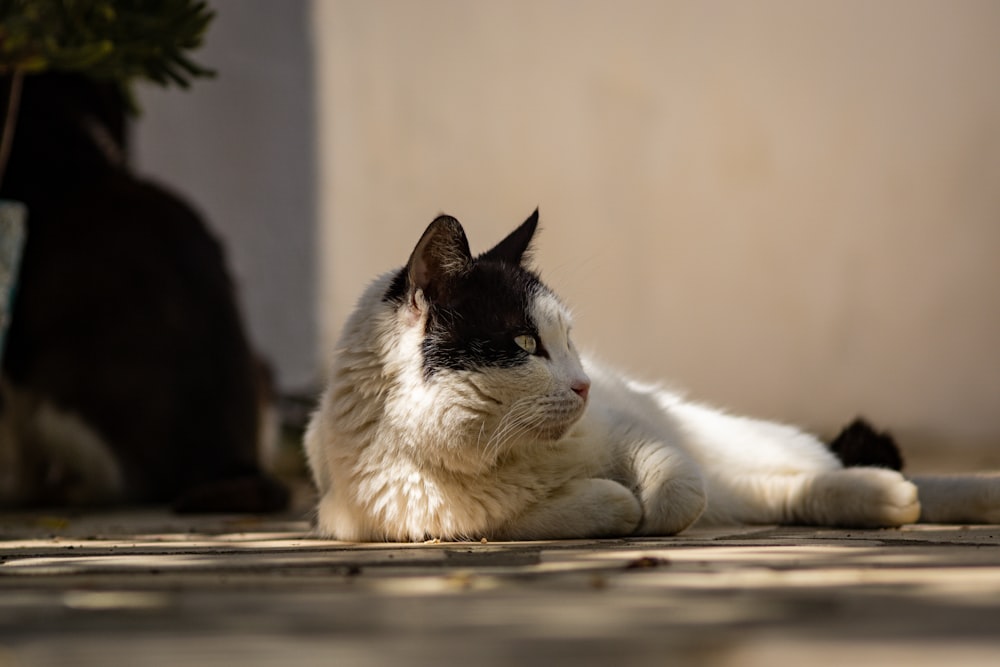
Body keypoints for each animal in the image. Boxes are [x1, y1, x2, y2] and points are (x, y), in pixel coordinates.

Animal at [304, 213, 1000, 544]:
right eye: (526, 344)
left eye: (570, 341)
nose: (584, 385)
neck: (511, 455)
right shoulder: (407, 518)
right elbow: (552, 511)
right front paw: (614, 504)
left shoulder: (627, 430)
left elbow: (675, 489)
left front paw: (649, 510)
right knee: (784, 491)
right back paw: (888, 499)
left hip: (727, 440)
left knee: (801, 471)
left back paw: (929, 493)